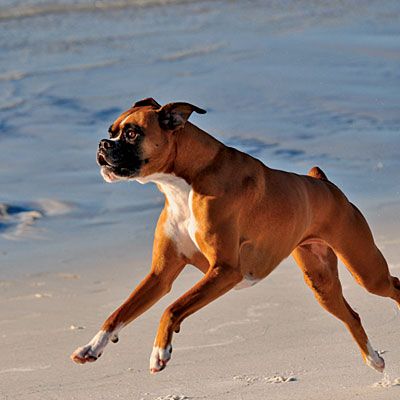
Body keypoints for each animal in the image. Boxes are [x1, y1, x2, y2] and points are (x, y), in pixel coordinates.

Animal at [72, 98, 400, 374]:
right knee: (352, 316)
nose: (103, 143)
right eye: (112, 131)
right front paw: (91, 347)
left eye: (131, 134)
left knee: (393, 284)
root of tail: (324, 183)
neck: (184, 183)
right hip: (322, 284)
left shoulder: (225, 270)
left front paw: (159, 352)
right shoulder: (160, 276)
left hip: (366, 271)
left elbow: (172, 308)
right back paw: (374, 359)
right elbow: (119, 312)